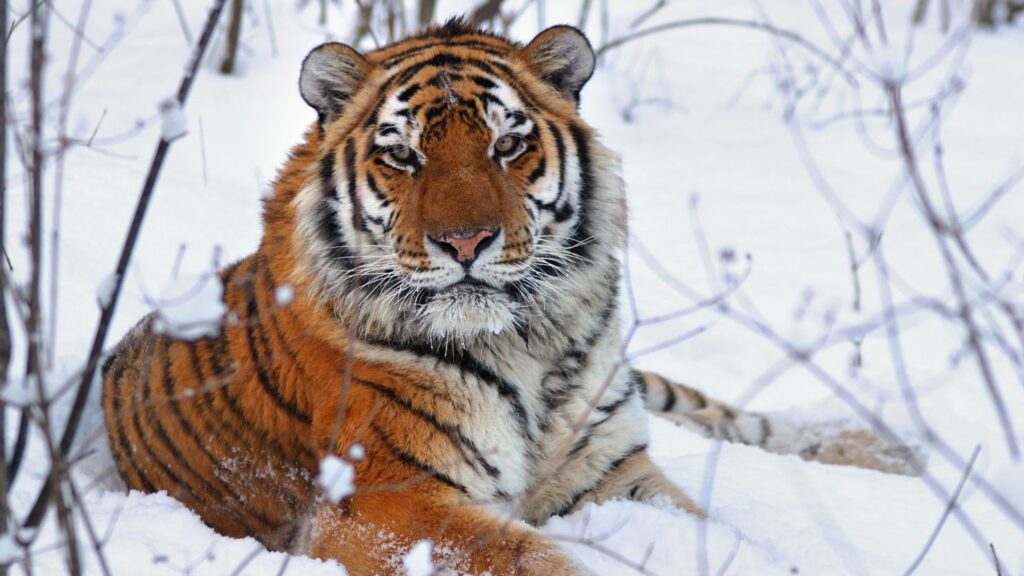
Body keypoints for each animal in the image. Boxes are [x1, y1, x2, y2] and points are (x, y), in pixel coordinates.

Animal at [101, 19, 920, 575]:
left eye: (507, 145)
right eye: (403, 154)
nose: (466, 243)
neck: (531, 344)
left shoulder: (611, 469)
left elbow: (710, 529)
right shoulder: (385, 501)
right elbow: (533, 558)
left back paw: (886, 448)